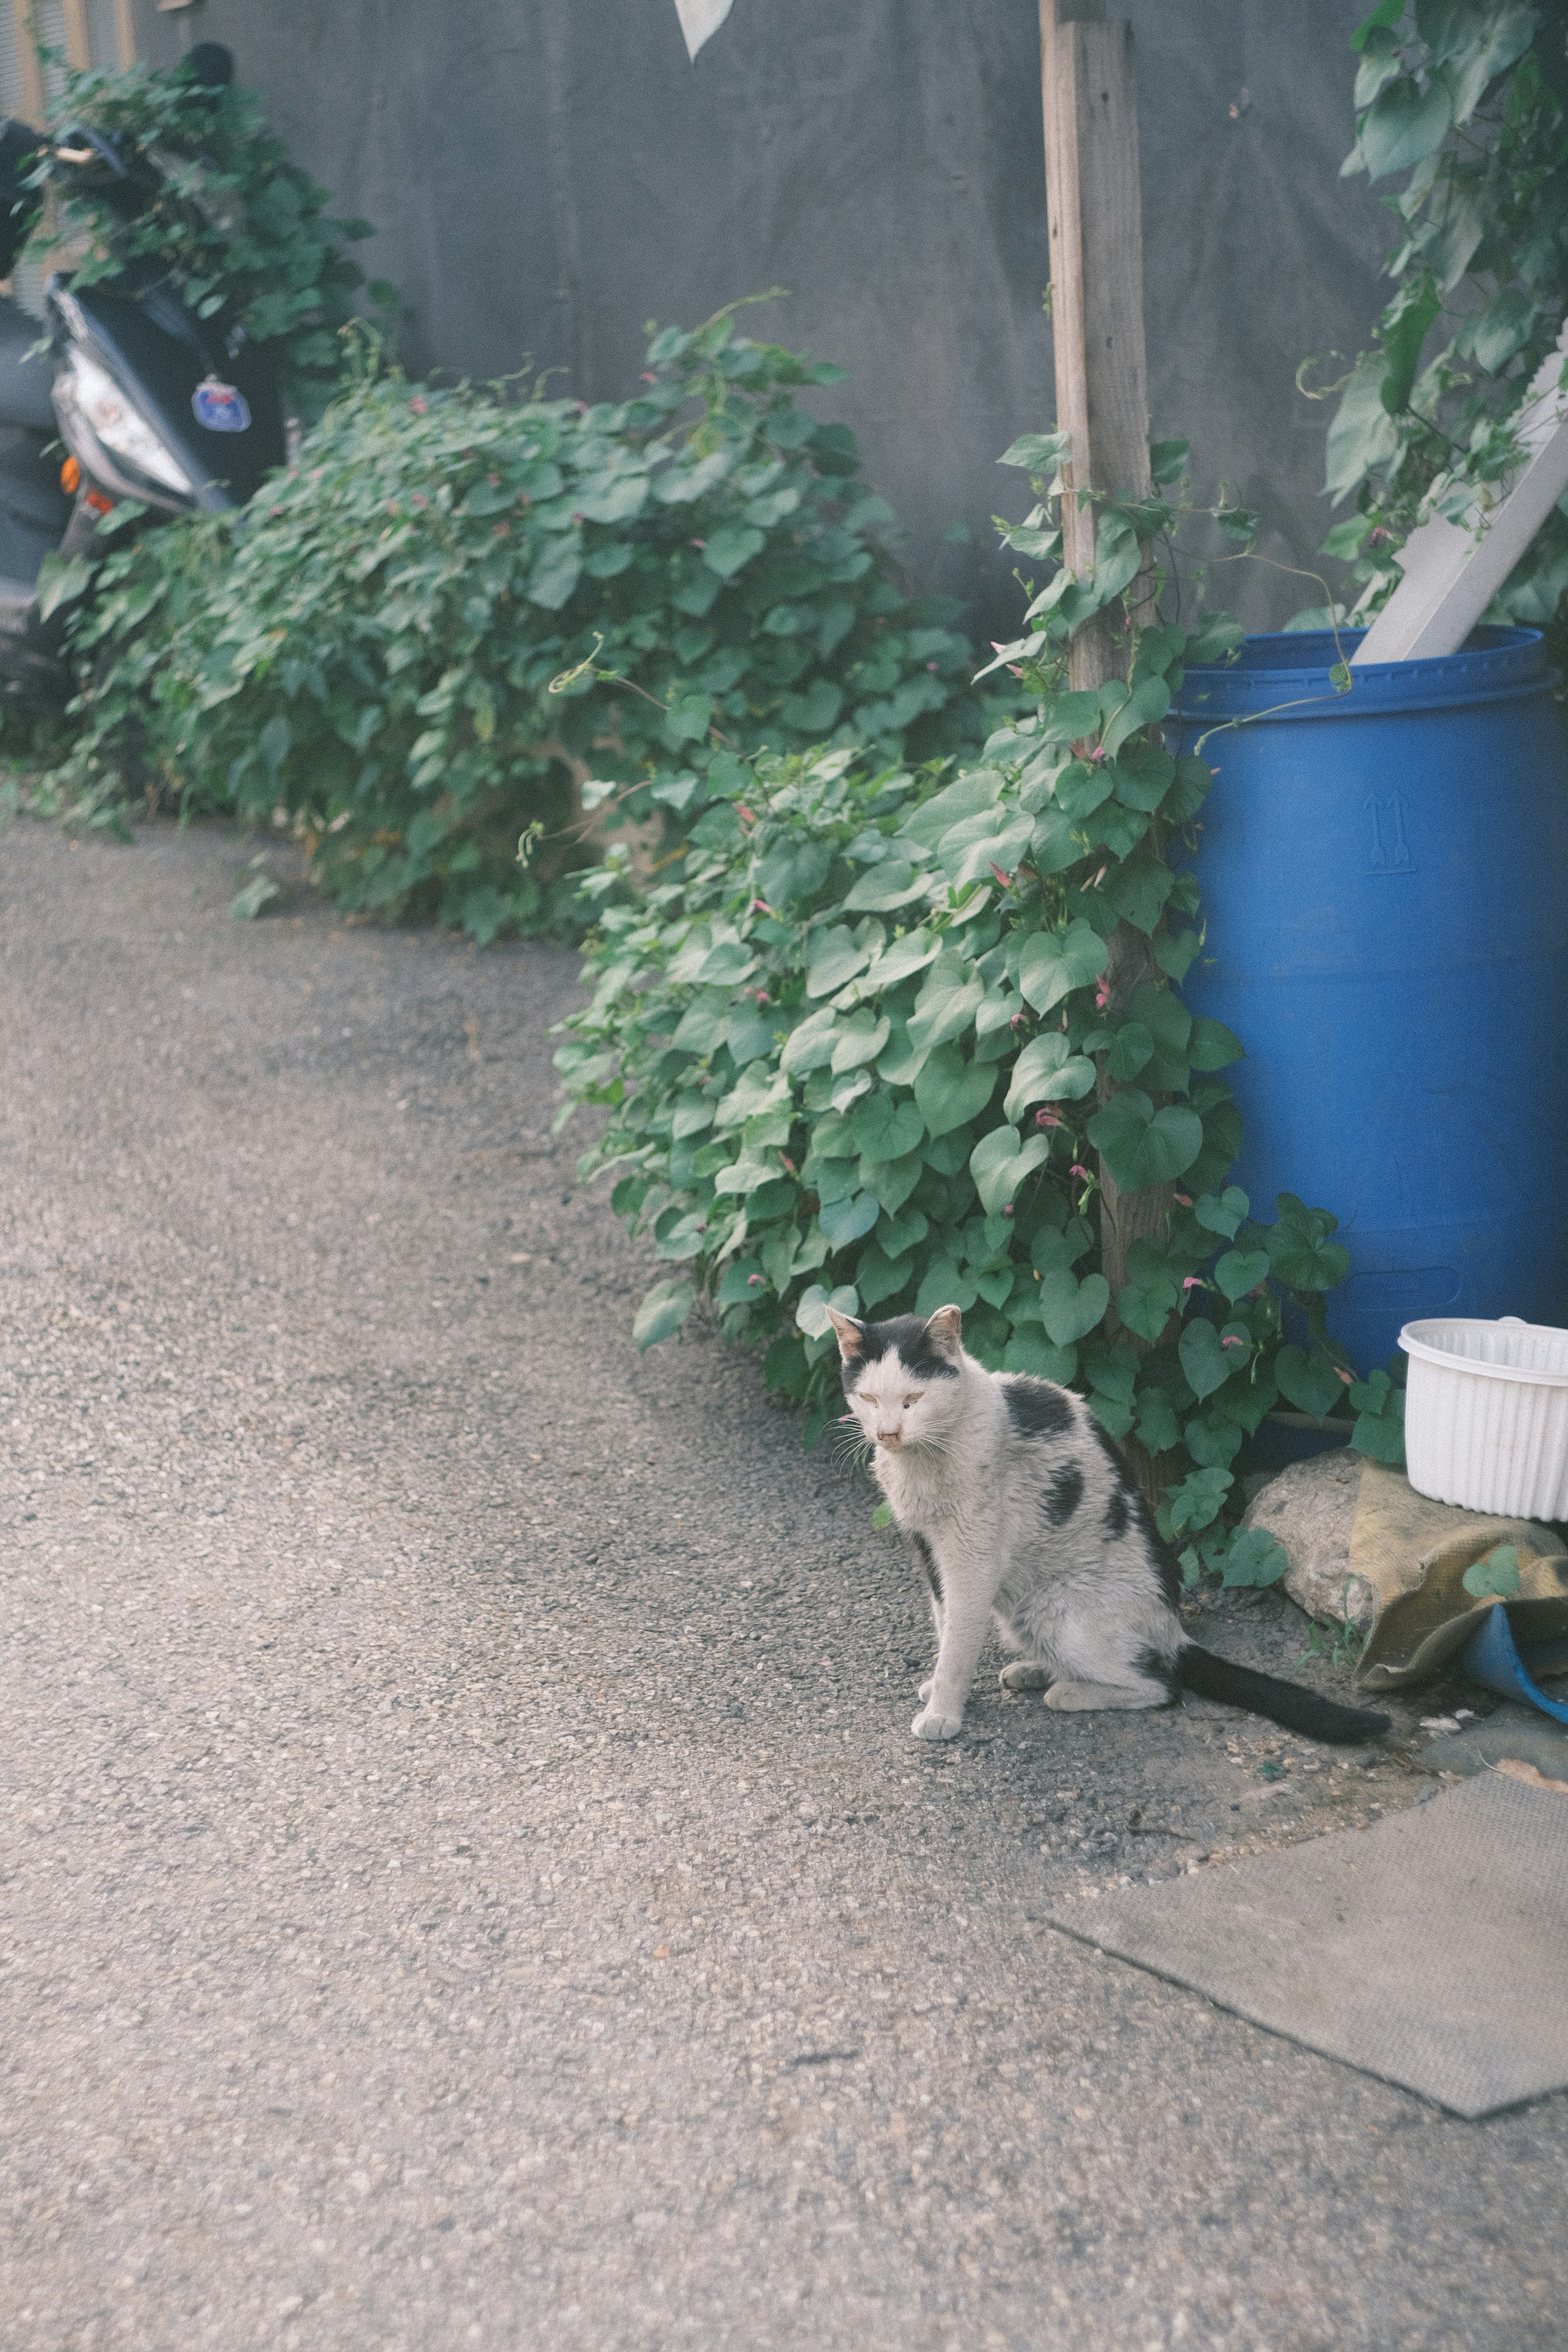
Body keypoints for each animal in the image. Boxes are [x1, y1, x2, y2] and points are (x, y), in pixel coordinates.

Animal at [827, 1307, 1392, 1750]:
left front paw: (943, 1712)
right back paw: (1036, 1670)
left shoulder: (973, 1560)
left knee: (1162, 1685)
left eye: (914, 1398)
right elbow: (946, 1624)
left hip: (1056, 1610)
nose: (888, 1433)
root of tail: (1174, 1628)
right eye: (870, 1400)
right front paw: (936, 1686)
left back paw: (1066, 1690)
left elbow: (960, 1641)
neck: (924, 1461)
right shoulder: (927, 1550)